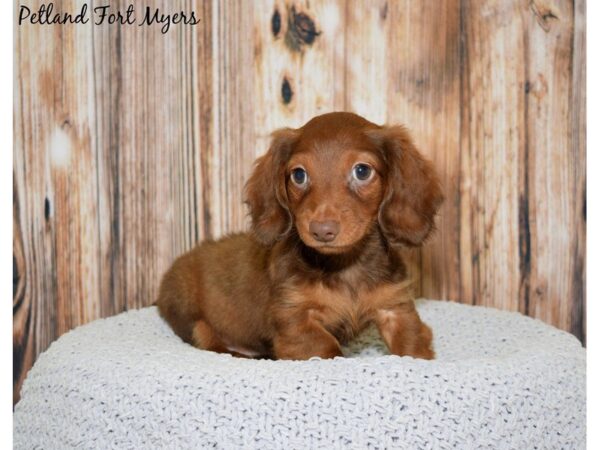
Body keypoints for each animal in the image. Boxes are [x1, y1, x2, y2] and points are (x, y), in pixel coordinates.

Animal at [157, 113, 442, 362]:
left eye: (362, 171)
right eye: (299, 175)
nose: (322, 230)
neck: (345, 267)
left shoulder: (395, 306)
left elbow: (411, 343)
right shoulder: (295, 319)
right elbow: (328, 349)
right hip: (194, 322)